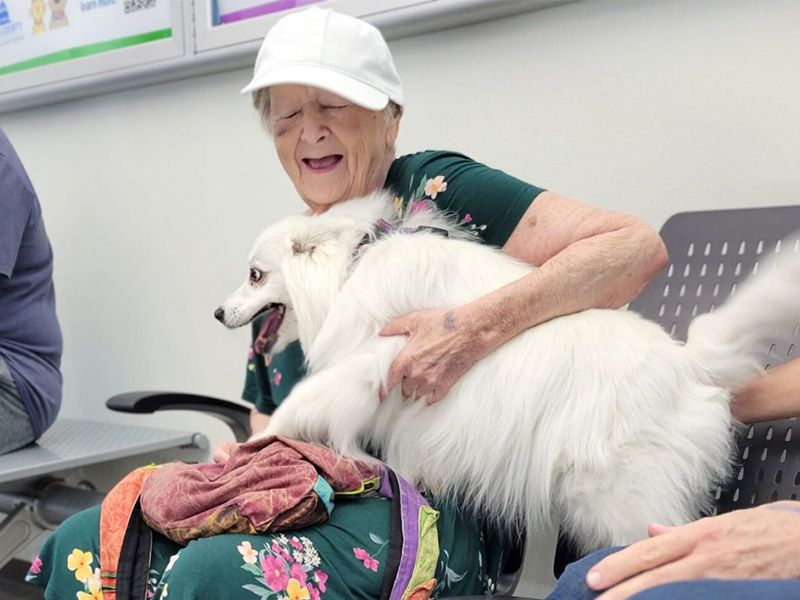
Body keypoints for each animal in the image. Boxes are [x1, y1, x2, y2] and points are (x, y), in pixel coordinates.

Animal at [216, 193, 800, 552]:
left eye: (255, 275)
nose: (219, 313)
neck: (351, 266)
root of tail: (688, 362)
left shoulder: (366, 366)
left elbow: (303, 403)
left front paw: (255, 444)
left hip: (621, 501)